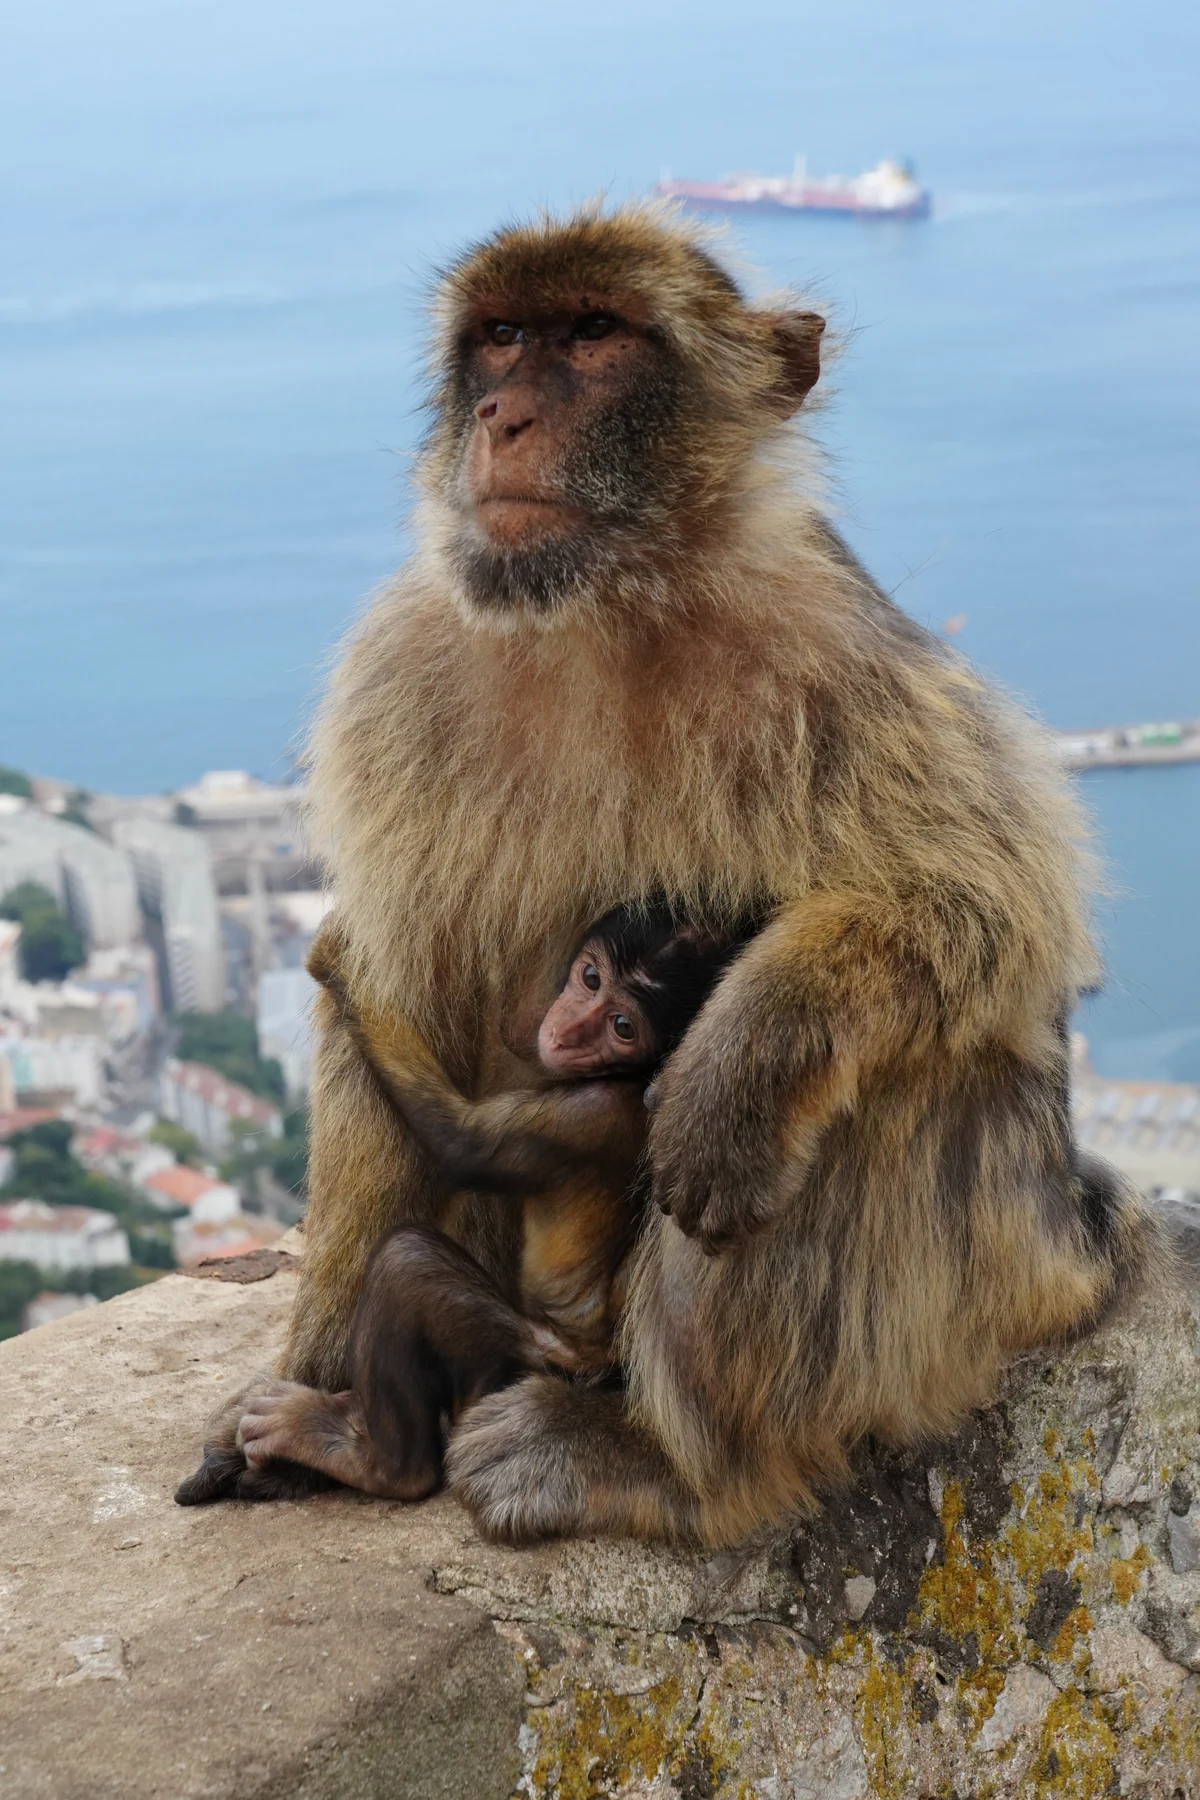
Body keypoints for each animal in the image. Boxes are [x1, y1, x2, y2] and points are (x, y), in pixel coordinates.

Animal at [218, 902, 755, 1503]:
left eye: (622, 1027)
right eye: (592, 978)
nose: (570, 1031)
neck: (624, 1075)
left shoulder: (586, 1111)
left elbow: (463, 1143)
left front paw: (339, 963)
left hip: (520, 1366)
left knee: (409, 1263)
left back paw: (379, 1462)